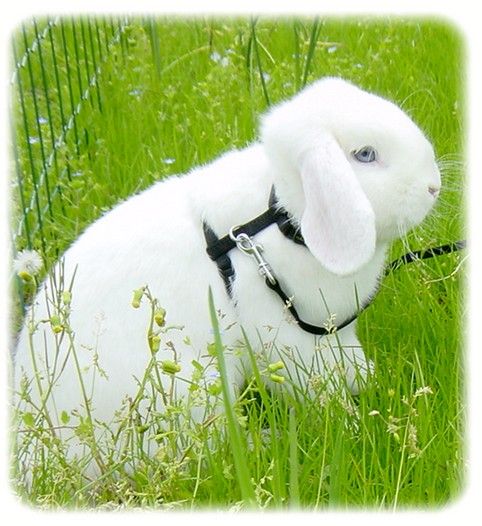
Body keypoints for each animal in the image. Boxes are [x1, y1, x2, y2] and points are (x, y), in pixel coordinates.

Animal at [12, 78, 440, 454]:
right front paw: (352, 424)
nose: (434, 186)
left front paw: (369, 379)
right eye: (365, 155)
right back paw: (268, 441)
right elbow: (319, 386)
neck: (280, 216)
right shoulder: (289, 338)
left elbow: (349, 361)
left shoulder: (334, 330)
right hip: (195, 386)